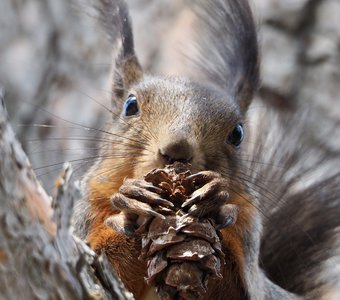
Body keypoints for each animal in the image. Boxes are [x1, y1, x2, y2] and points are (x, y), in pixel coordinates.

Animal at [73, 0, 340, 300]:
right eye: (130, 106)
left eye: (237, 134)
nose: (177, 149)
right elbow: (102, 261)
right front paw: (130, 205)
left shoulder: (249, 242)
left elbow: (232, 284)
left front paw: (216, 200)